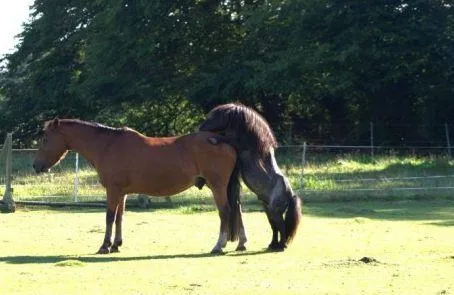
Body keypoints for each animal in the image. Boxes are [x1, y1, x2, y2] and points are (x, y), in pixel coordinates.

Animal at [32, 119, 247, 256]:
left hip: (217, 186)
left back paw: (218, 245)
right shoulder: (122, 193)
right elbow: (119, 217)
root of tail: (222, 141)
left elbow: (109, 217)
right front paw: (116, 245)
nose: (36, 165)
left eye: (45, 139)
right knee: (237, 209)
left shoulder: (112, 190)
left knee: (225, 211)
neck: (108, 145)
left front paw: (104, 246)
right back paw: (241, 243)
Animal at [200, 103, 302, 251]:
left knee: (281, 226)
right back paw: (273, 245)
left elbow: (227, 139)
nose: (200, 128)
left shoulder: (239, 145)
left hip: (275, 212)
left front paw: (214, 139)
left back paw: (281, 245)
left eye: (215, 117)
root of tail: (290, 195)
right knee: (274, 227)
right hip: (268, 210)